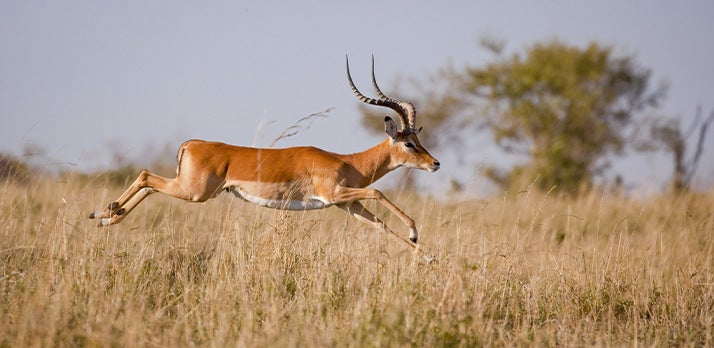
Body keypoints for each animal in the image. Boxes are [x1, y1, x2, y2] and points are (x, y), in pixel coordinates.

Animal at [89, 57, 440, 256]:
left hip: (189, 189)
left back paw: (107, 215)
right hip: (195, 192)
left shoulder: (349, 206)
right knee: (146, 176)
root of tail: (192, 143)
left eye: (419, 138)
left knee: (148, 183)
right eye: (409, 143)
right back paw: (104, 213)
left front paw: (426, 255)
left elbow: (381, 226)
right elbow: (378, 191)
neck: (349, 162)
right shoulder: (336, 194)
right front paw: (415, 233)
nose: (435, 163)